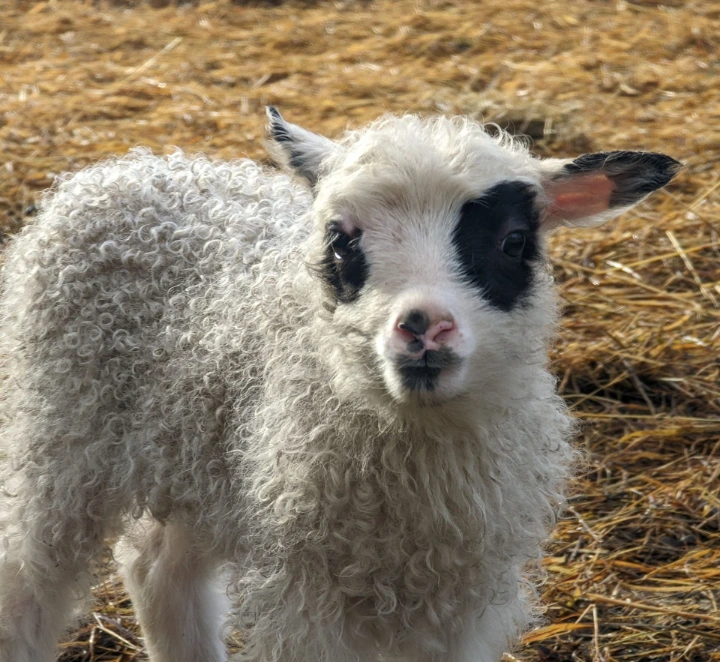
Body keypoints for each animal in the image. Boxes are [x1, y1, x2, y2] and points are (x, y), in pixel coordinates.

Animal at [0, 108, 679, 662]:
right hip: (60, 433)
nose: (422, 327)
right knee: (26, 578)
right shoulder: (305, 593)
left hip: (198, 456)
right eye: (339, 239)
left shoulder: (465, 602)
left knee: (158, 570)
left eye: (514, 240)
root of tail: (124, 168)